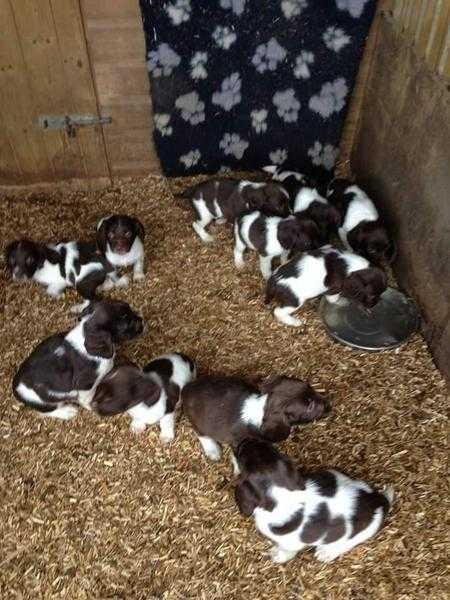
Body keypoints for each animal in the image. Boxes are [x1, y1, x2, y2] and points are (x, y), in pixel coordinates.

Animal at [12, 300, 142, 422]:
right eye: (128, 325)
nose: (142, 320)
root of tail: (15, 389)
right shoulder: (85, 386)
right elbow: (87, 398)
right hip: (44, 403)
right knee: (45, 412)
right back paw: (67, 412)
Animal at [181, 376, 328, 468]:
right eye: (309, 406)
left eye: (310, 387)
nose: (329, 405)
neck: (262, 409)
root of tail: (186, 388)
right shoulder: (238, 441)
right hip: (198, 422)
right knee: (201, 434)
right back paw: (213, 451)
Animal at [232, 440, 394, 564]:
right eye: (268, 448)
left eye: (241, 455)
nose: (245, 440)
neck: (284, 493)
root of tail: (378, 500)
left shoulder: (290, 543)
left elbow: (286, 550)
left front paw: (278, 555)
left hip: (362, 533)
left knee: (347, 543)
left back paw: (326, 552)